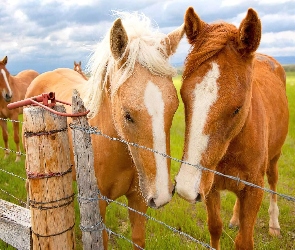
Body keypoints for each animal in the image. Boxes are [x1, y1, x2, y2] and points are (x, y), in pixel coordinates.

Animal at [24, 11, 185, 248]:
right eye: (127, 114)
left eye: (174, 107)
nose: (163, 194)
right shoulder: (98, 204)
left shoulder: (138, 200)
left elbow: (138, 239)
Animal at [176, 6, 290, 249]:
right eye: (183, 97)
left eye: (237, 109)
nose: (186, 186)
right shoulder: (209, 185)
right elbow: (215, 228)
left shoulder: (254, 189)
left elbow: (244, 240)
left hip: (274, 158)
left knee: (274, 183)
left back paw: (274, 225)